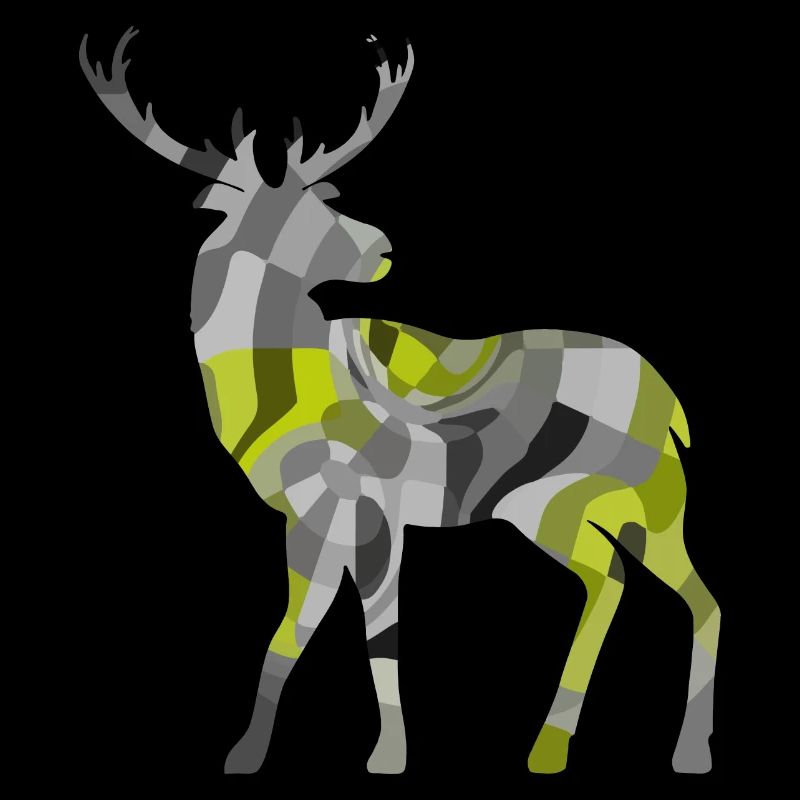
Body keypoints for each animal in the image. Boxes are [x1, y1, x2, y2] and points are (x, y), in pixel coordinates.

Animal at [79, 26, 721, 775]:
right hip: (599, 512)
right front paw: (244, 756)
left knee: (657, 590)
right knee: (646, 587)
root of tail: (670, 401)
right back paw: (597, 750)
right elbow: (290, 634)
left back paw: (623, 752)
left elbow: (378, 633)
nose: (383, 248)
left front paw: (387, 757)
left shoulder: (374, 509)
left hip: (607, 506)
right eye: (285, 209)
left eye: (322, 195)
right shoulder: (305, 519)